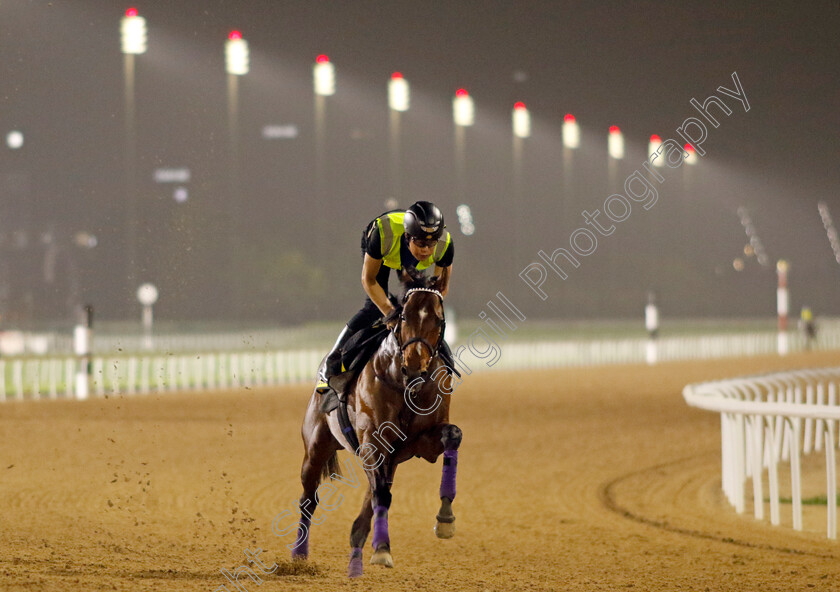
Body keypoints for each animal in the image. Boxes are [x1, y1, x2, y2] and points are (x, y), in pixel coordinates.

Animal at [288, 276, 460, 580]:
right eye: (404, 316)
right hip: (316, 446)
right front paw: (382, 549)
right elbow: (380, 492)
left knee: (372, 497)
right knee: (309, 498)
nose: (414, 366)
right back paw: (299, 556)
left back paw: (356, 553)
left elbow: (453, 435)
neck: (404, 385)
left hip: (390, 458)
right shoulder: (372, 441)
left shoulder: (420, 441)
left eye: (439, 320)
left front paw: (445, 520)